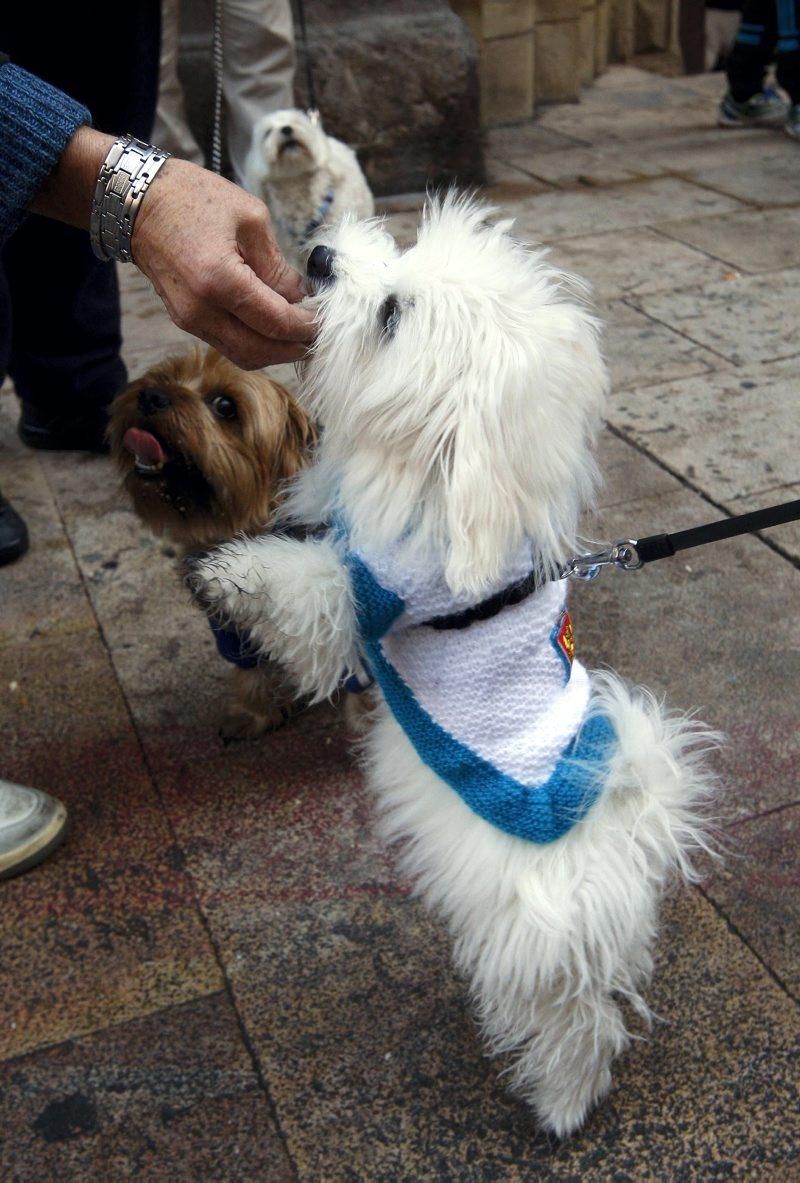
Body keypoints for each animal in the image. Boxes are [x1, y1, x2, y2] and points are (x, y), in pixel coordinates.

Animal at [109, 345, 314, 738]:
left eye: (225, 406)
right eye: (167, 377)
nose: (151, 395)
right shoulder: (227, 621)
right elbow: (248, 666)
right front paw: (252, 714)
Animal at [189, 194, 719, 1135]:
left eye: (392, 315)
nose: (319, 257)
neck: (438, 474)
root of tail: (633, 826)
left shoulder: (361, 595)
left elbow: (301, 587)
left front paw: (228, 572)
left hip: (529, 937)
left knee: (577, 1019)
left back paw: (560, 1101)